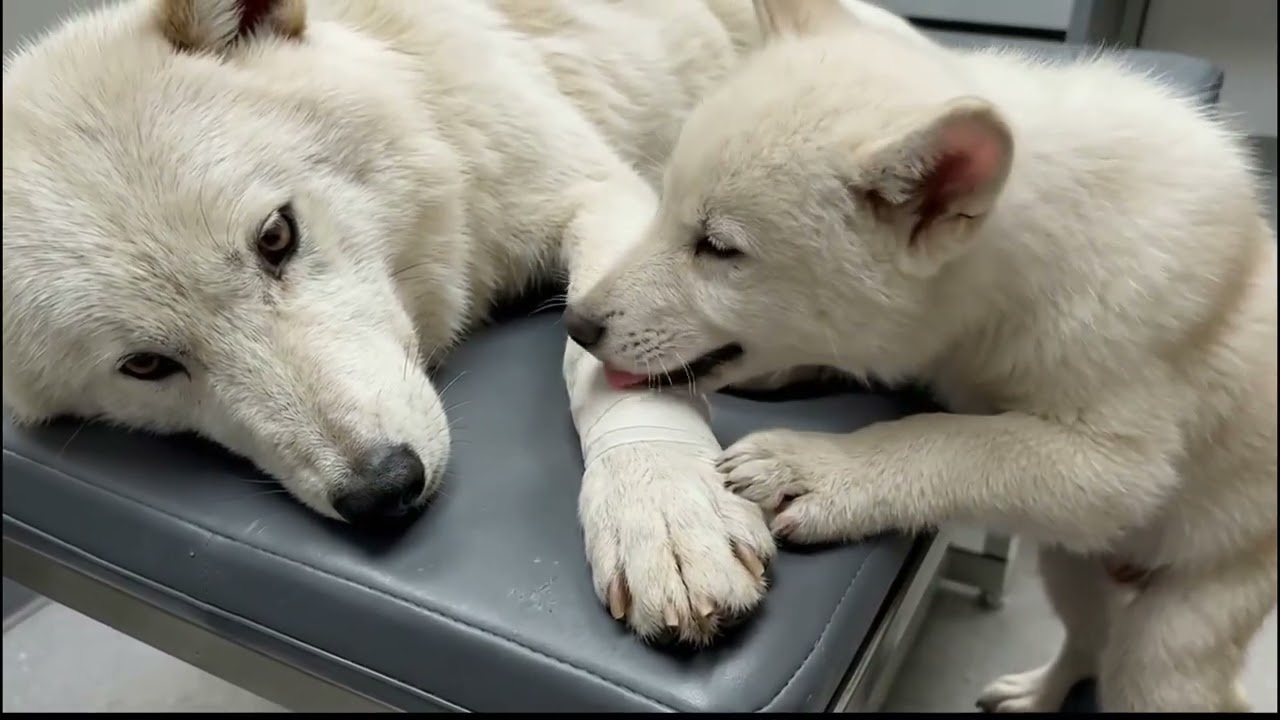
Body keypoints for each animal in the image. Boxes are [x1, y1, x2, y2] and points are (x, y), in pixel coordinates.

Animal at [568, 0, 1278, 710]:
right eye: (663, 207)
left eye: (718, 248)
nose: (576, 324)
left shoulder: (1118, 465)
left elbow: (954, 440)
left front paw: (823, 470)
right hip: (1069, 563)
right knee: (1088, 641)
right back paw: (1037, 691)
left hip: (1174, 634)